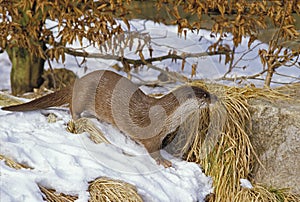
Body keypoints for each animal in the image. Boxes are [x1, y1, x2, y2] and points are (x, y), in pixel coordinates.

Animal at [2, 70, 213, 166]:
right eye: (204, 95)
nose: (215, 98)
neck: (168, 117)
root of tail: (79, 81)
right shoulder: (152, 136)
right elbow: (153, 150)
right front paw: (164, 162)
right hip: (83, 97)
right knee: (72, 107)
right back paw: (78, 119)